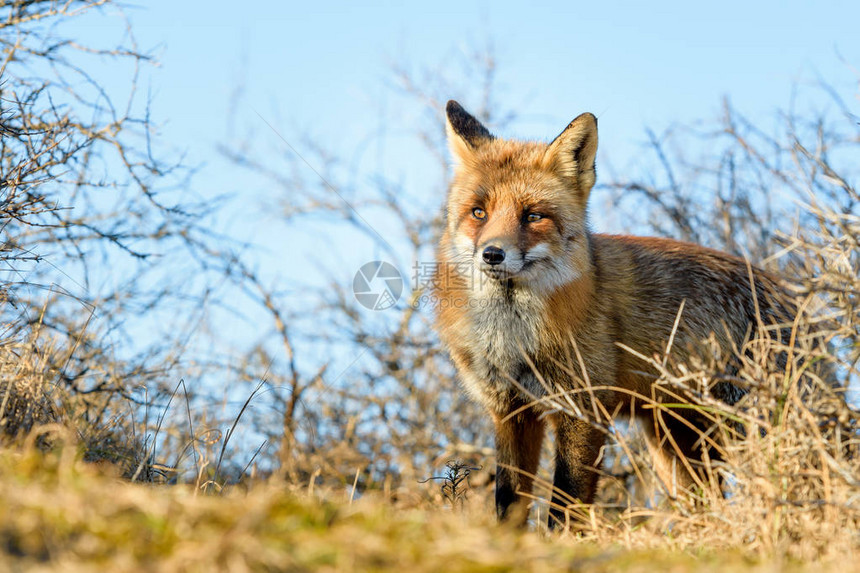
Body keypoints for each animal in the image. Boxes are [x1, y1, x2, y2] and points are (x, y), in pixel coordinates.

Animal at [434, 99, 796, 528]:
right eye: (478, 212)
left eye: (533, 216)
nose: (492, 254)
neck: (513, 339)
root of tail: (793, 294)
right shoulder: (511, 411)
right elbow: (509, 500)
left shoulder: (583, 407)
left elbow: (566, 502)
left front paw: (562, 541)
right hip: (675, 443)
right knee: (706, 501)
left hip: (746, 428)